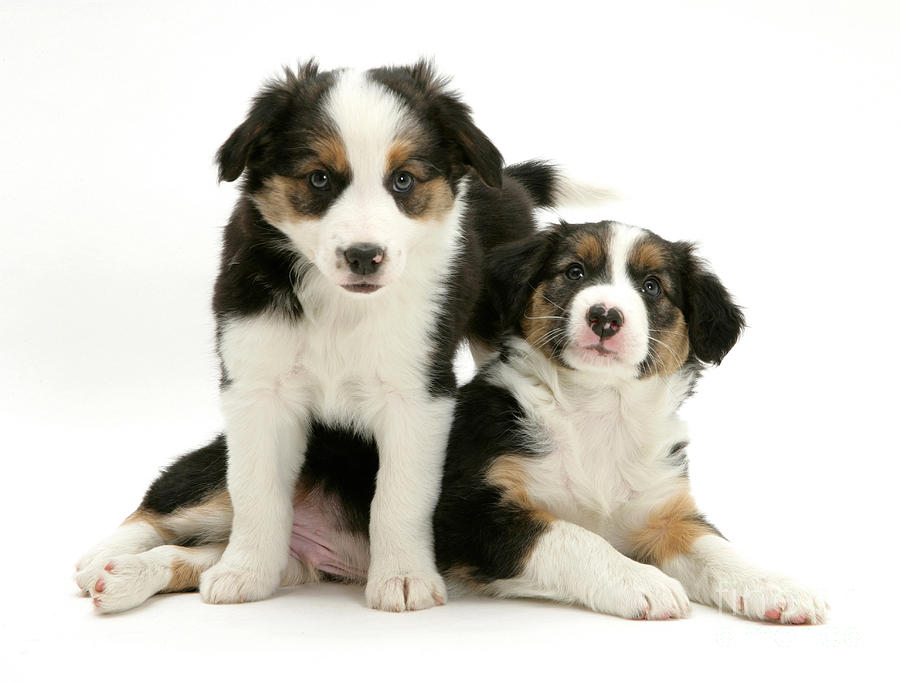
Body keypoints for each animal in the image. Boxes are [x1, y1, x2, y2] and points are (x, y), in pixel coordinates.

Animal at [74, 59, 600, 612]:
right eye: (320, 178)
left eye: (403, 180)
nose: (364, 255)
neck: (342, 307)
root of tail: (508, 182)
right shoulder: (256, 385)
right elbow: (256, 491)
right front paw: (245, 572)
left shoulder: (417, 393)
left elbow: (399, 494)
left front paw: (404, 577)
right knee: (160, 505)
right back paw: (104, 560)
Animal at [436, 219, 828, 620]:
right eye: (574, 272)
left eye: (652, 286)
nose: (605, 317)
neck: (601, 406)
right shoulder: (466, 512)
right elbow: (570, 536)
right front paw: (641, 581)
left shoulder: (665, 513)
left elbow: (714, 546)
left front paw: (774, 585)